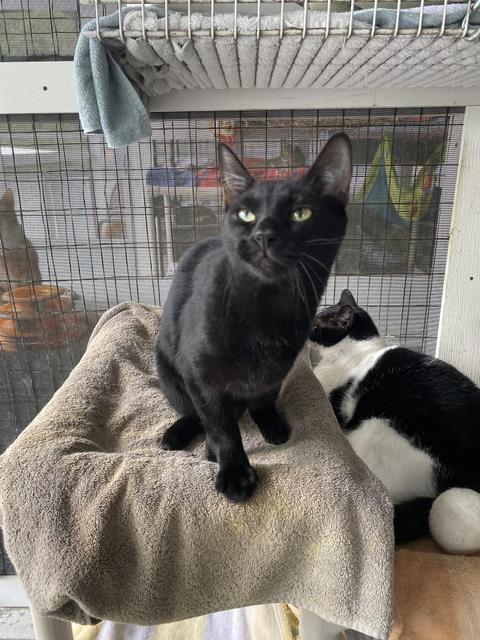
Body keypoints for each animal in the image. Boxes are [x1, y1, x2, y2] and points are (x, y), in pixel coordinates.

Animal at [158, 135, 352, 502]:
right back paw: (177, 435)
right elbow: (220, 426)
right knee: (192, 412)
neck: (266, 308)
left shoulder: (279, 367)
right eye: (246, 214)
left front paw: (269, 423)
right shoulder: (200, 376)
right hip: (166, 369)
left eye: (301, 213)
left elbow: (263, 398)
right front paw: (234, 471)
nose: (263, 234)